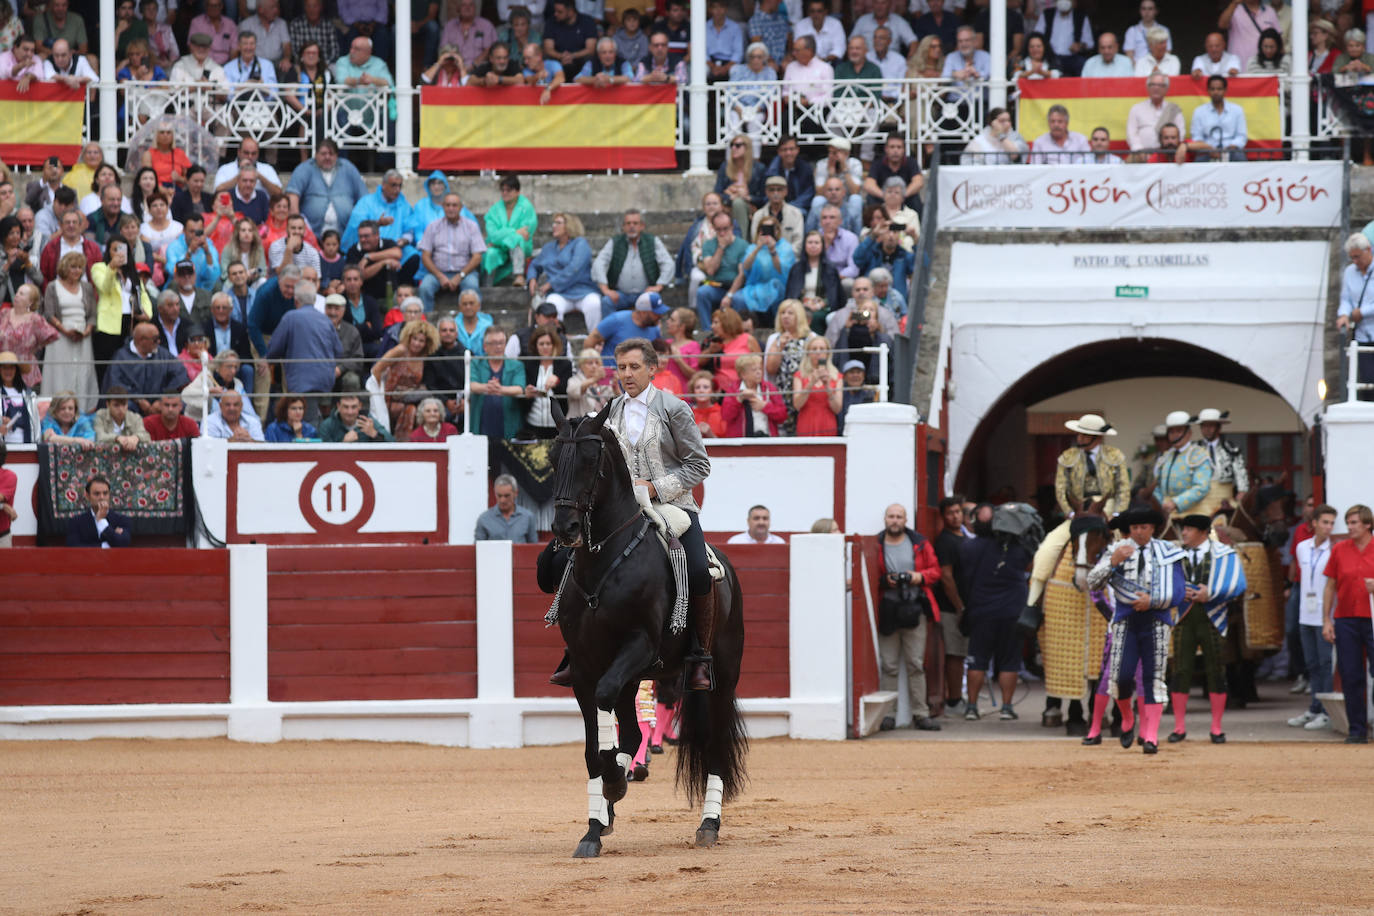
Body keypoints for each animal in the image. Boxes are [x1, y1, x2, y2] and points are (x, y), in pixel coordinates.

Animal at [546, 401, 747, 862]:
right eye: (553, 456)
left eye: (591, 459)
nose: (565, 529)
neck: (604, 562)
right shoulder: (584, 669)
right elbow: (593, 748)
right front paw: (595, 825)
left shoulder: (640, 645)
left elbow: (608, 726)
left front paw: (613, 784)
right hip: (634, 676)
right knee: (636, 727)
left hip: (721, 674)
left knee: (715, 743)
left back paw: (708, 824)